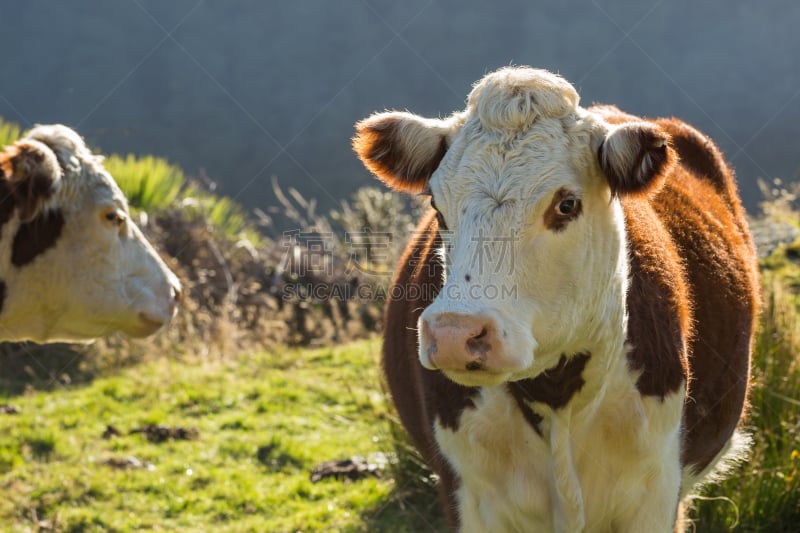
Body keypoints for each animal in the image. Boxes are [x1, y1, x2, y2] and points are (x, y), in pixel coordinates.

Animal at [354, 67, 760, 532]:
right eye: (438, 206)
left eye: (566, 204)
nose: (455, 333)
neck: (556, 397)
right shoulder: (470, 496)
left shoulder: (656, 495)